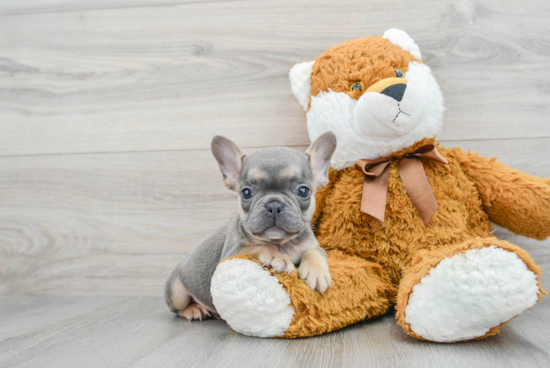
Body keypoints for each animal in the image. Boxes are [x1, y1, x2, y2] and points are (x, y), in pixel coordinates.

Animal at [165, 132, 336, 320]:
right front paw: (277, 258)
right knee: (177, 309)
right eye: (246, 193)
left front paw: (316, 272)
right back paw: (194, 309)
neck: (280, 243)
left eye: (303, 191)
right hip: (177, 293)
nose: (274, 205)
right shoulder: (231, 254)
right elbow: (258, 246)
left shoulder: (315, 245)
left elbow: (315, 252)